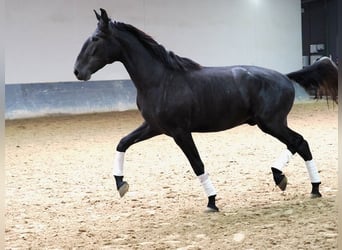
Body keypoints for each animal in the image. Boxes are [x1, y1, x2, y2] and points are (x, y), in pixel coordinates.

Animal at [73, 8, 338, 211]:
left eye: (95, 39)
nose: (77, 71)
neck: (161, 80)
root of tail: (285, 76)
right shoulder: (154, 127)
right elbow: (122, 143)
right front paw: (121, 184)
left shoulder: (180, 132)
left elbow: (197, 164)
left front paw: (212, 201)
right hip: (272, 124)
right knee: (300, 143)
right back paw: (307, 186)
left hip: (271, 123)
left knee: (299, 142)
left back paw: (289, 179)